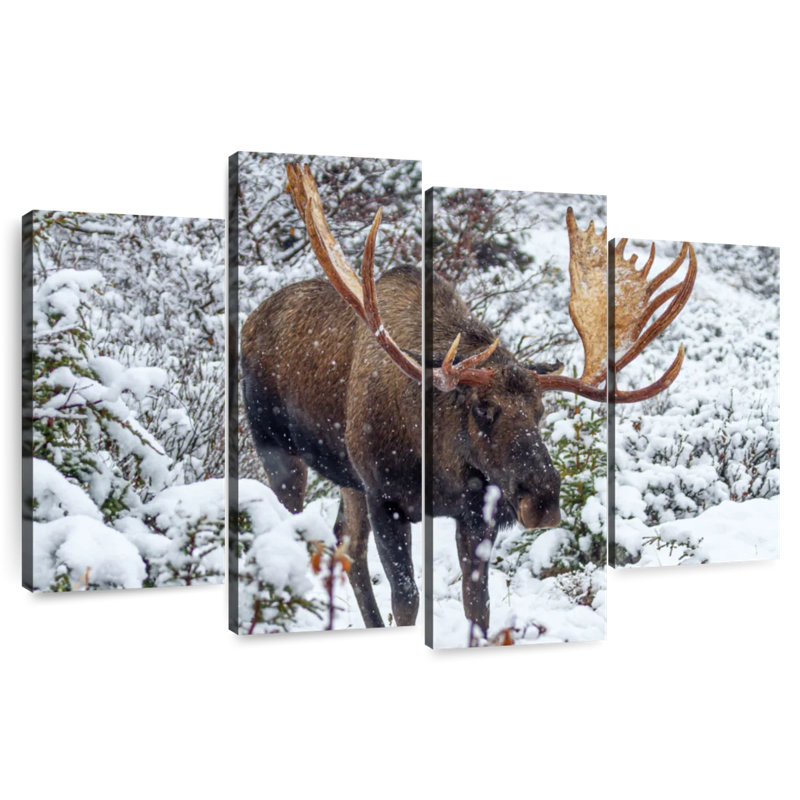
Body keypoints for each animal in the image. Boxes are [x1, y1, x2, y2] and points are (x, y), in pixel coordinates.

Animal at [240, 163, 697, 634]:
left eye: (540, 411)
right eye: (482, 408)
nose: (544, 497)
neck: (435, 462)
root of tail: (249, 321)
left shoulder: (476, 512)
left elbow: (478, 604)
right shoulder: (385, 496)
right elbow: (407, 599)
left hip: (348, 477)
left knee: (346, 546)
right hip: (276, 448)